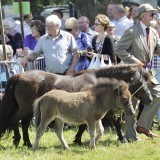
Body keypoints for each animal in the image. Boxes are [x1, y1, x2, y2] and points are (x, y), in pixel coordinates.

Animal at [0, 63, 153, 148]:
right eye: (139, 82)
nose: (150, 99)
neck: (96, 82)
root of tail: (18, 76)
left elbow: (87, 126)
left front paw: (78, 140)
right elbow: (113, 122)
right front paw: (122, 139)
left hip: (30, 111)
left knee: (25, 124)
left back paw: (27, 142)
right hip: (25, 109)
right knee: (15, 120)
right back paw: (18, 141)